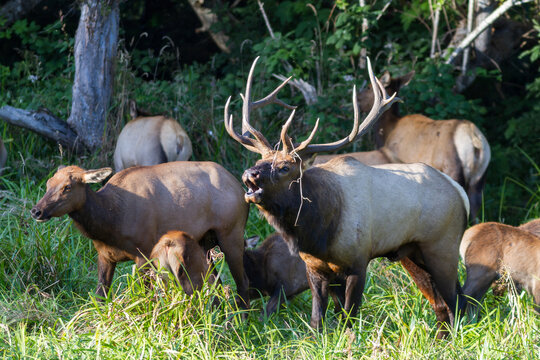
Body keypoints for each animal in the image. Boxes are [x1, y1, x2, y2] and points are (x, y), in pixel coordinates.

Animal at [29, 162, 249, 306]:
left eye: (67, 187)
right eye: (48, 183)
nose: (36, 211)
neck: (111, 222)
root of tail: (241, 188)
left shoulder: (143, 253)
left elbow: (145, 297)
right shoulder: (104, 256)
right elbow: (100, 297)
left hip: (232, 234)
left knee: (242, 283)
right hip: (203, 244)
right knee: (215, 282)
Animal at [226, 57, 470, 338]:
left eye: (285, 167)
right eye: (259, 161)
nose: (249, 174)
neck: (317, 231)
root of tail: (460, 193)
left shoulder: (358, 261)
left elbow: (349, 319)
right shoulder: (314, 267)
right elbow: (317, 321)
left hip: (442, 246)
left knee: (457, 300)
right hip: (412, 253)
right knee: (442, 303)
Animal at [312, 70, 490, 221]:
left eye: (369, 87)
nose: (345, 106)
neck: (388, 131)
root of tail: (475, 140)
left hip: (453, 169)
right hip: (479, 179)